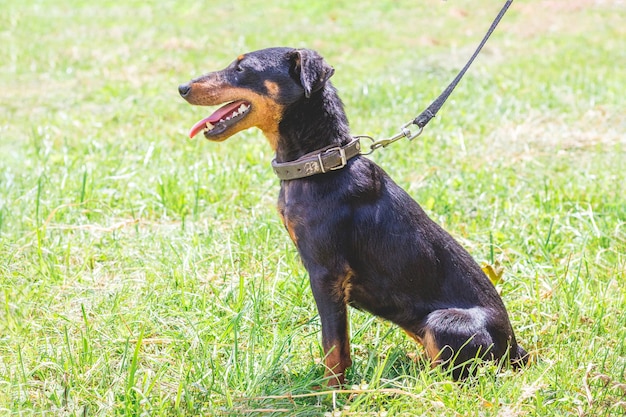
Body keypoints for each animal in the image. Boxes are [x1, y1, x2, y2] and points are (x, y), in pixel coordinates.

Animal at [179, 47, 528, 386]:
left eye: (241, 68)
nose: (182, 87)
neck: (321, 163)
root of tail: (516, 350)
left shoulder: (326, 273)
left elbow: (334, 346)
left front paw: (329, 394)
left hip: (443, 322)